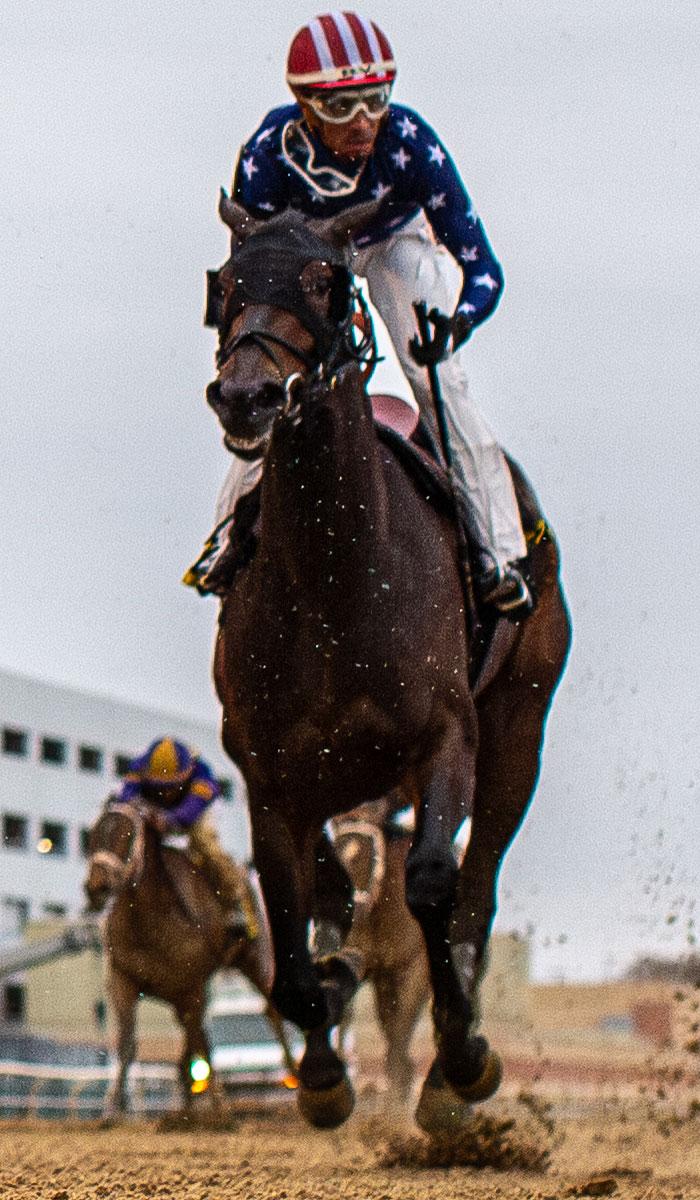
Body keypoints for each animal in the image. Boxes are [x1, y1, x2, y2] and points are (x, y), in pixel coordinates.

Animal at [83, 800, 280, 1115]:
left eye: (127, 836)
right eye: (93, 834)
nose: (96, 887)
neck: (151, 921)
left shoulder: (193, 987)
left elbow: (203, 1046)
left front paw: (221, 1107)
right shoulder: (122, 979)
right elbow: (127, 1042)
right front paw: (111, 1110)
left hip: (255, 959)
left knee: (270, 1013)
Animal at [206, 200, 571, 1132]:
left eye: (324, 281)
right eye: (225, 281)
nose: (247, 394)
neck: (337, 576)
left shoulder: (447, 738)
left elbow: (436, 886)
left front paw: (463, 1058)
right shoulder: (268, 770)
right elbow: (297, 918)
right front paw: (324, 1067)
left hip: (519, 732)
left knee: (475, 893)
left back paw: (449, 1069)